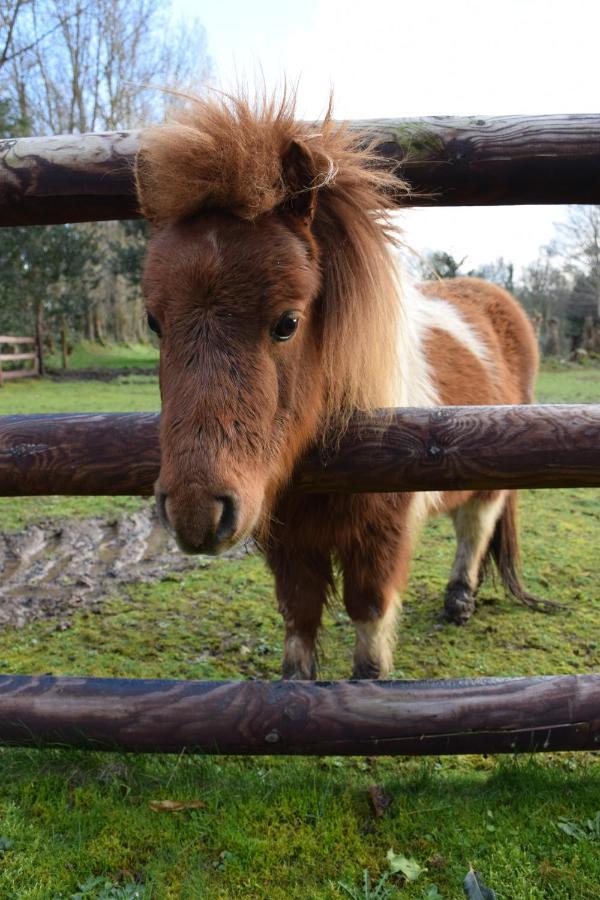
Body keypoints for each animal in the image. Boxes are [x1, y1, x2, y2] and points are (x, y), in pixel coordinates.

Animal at [135, 95, 540, 680]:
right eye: (153, 322)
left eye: (287, 322)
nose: (196, 512)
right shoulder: (288, 541)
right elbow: (299, 620)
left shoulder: (380, 538)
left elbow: (368, 621)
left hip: (491, 476)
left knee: (474, 526)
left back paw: (459, 600)